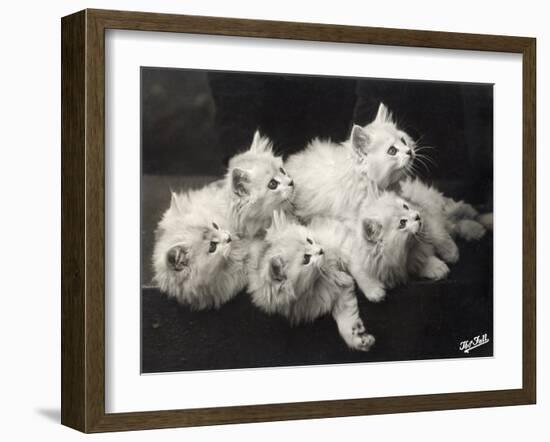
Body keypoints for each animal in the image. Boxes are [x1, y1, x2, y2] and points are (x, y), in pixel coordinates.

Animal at [248, 212, 378, 352]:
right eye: (306, 259)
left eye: (309, 240)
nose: (321, 250)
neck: (319, 278)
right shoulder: (335, 291)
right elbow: (345, 320)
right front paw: (357, 338)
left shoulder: (341, 241)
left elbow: (358, 267)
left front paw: (374, 290)